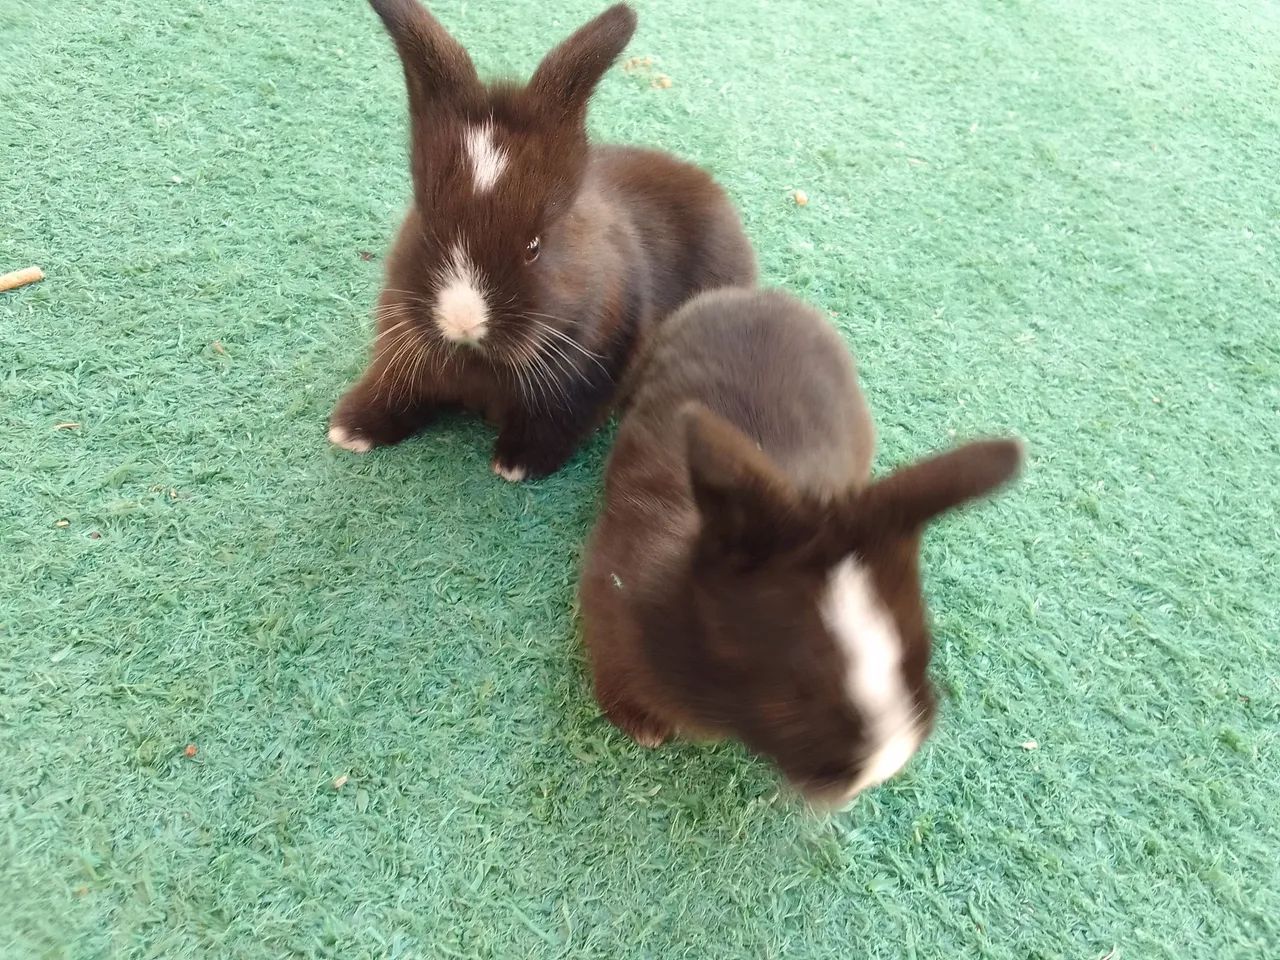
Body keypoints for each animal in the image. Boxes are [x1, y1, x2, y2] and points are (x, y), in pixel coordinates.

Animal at [328, 0, 758, 481]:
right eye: (424, 225)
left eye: (534, 246)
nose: (463, 320)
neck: (476, 360)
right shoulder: (402, 351)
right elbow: (395, 387)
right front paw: (350, 429)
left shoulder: (584, 379)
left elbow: (554, 422)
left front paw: (516, 463)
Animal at [578, 288, 1023, 808]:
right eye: (797, 690)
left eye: (920, 649)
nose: (885, 767)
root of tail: (756, 296)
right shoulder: (608, 600)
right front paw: (640, 725)